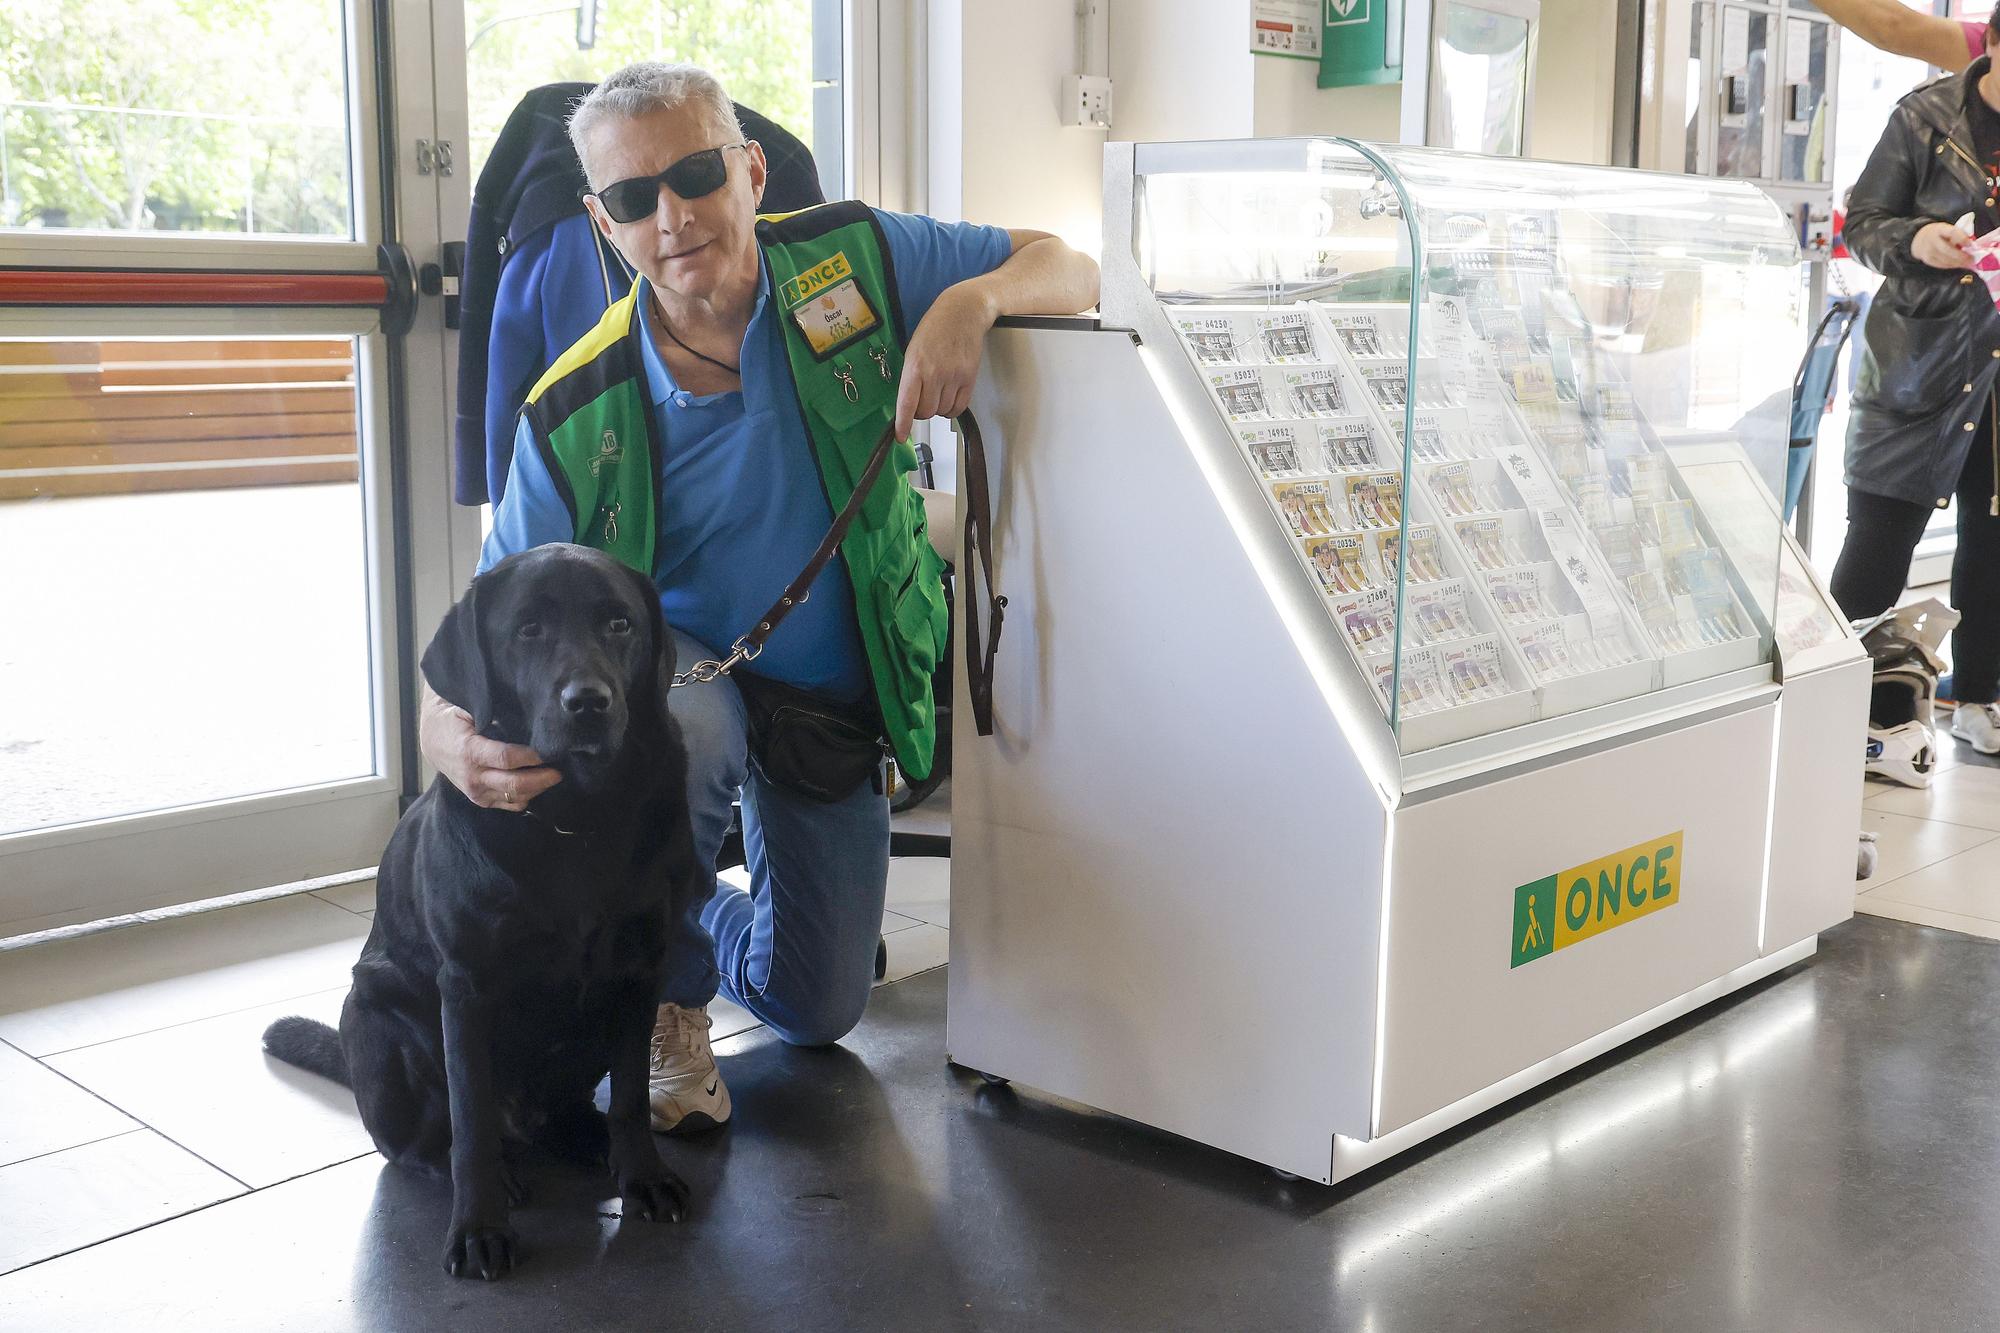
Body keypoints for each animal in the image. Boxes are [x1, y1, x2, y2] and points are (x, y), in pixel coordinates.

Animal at [262, 540, 708, 1280]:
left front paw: (644, 1176)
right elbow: (470, 1124)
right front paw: (477, 1227)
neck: (578, 817)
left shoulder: (639, 968)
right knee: (422, 1146)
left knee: (574, 1111)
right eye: (527, 630)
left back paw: (591, 1141)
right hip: (372, 1018)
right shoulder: (468, 987)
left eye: (619, 624)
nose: (589, 702)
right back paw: (487, 1172)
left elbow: (633, 1096)